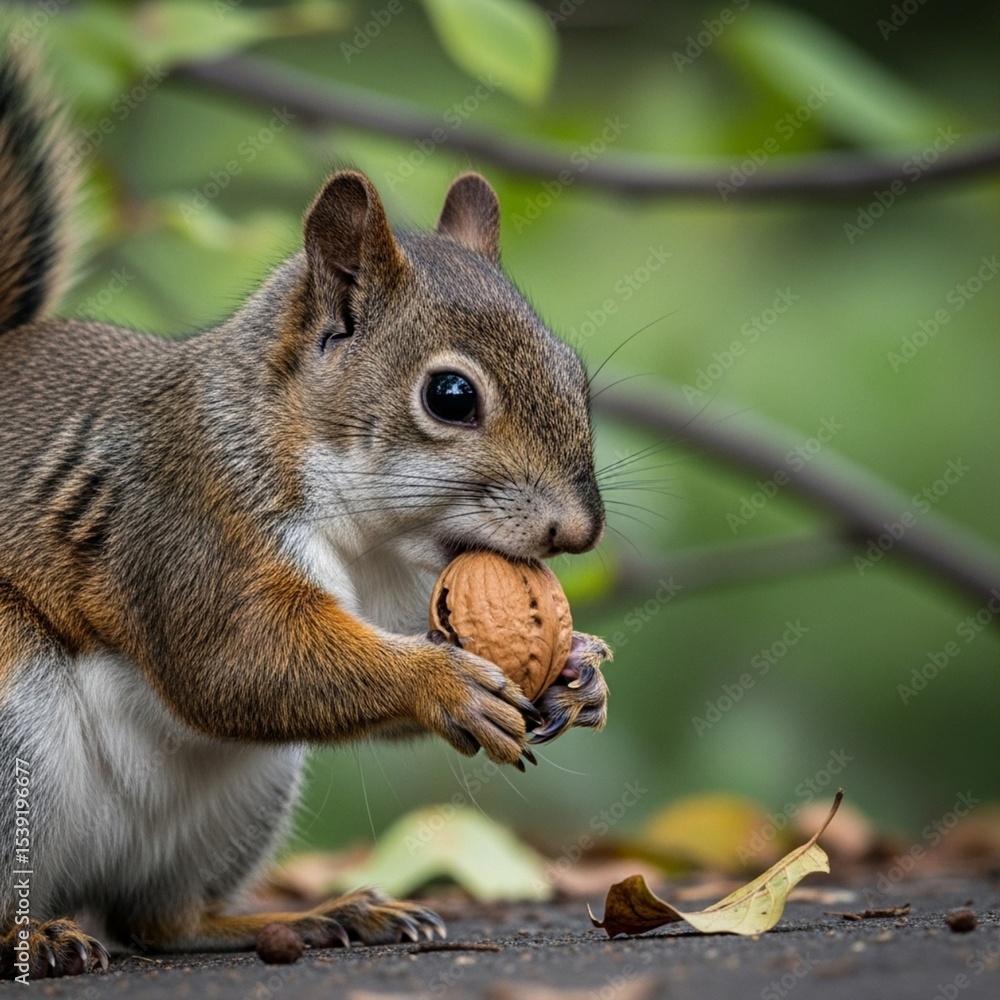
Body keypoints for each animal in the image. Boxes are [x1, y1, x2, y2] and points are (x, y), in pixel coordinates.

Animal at [0, 47, 609, 980]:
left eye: (575, 374)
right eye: (451, 395)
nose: (579, 532)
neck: (367, 534)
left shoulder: (393, 591)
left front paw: (580, 668)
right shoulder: (185, 519)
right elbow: (237, 660)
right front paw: (443, 685)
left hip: (245, 799)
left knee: (160, 921)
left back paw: (321, 915)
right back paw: (34, 936)